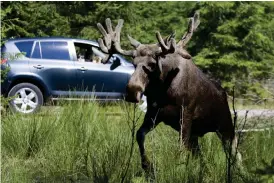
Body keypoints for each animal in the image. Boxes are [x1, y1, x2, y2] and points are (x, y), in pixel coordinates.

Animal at [96, 12, 240, 172]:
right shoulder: (153, 114)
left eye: (152, 64)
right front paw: (147, 166)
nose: (133, 91)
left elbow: (181, 148)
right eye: (134, 63)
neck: (163, 90)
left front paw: (179, 170)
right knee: (201, 155)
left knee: (235, 151)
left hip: (225, 126)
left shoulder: (186, 114)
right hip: (197, 134)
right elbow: (139, 135)